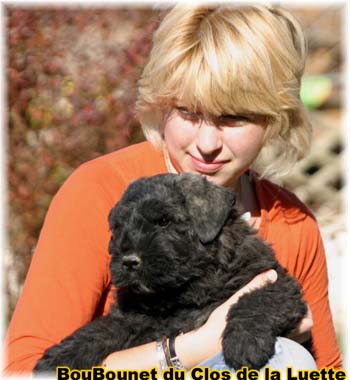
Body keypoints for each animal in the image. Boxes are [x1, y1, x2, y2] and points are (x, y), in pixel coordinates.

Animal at [33, 174, 306, 372]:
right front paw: (59, 357)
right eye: (118, 226)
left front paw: (244, 342)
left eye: (164, 221)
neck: (179, 293)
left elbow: (257, 300)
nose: (129, 261)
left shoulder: (277, 282)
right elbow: (99, 329)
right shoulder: (131, 315)